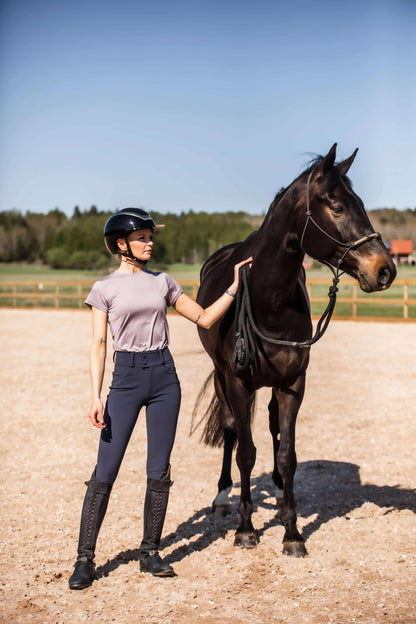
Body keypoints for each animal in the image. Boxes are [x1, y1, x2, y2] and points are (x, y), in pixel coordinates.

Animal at [195, 145, 396, 556]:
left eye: (361, 204)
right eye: (337, 207)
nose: (385, 270)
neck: (268, 300)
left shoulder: (292, 384)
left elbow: (288, 455)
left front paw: (292, 532)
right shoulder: (238, 383)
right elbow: (245, 452)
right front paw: (246, 529)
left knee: (272, 426)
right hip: (222, 378)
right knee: (230, 431)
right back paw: (222, 497)